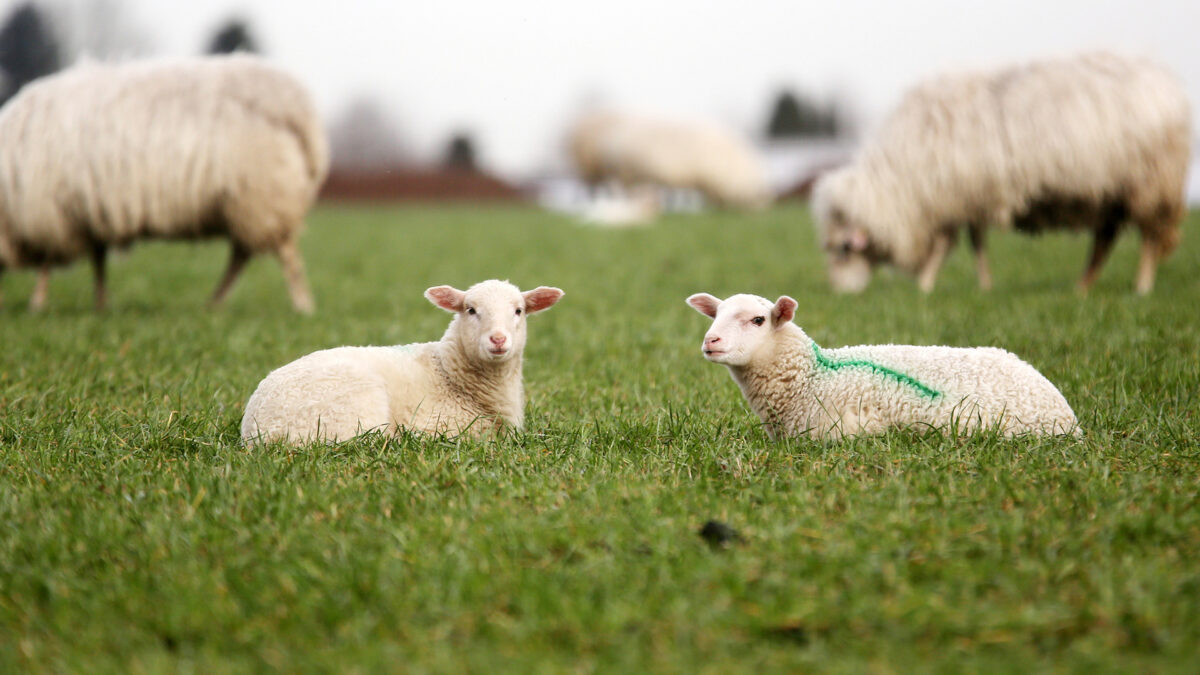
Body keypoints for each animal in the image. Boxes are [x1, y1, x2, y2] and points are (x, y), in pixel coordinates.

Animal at [0, 53, 328, 312]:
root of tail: (295, 106)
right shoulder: (88, 215)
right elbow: (98, 259)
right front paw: (101, 303)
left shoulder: (46, 214)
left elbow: (47, 263)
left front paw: (37, 304)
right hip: (249, 203)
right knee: (242, 255)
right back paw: (215, 303)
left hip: (261, 196)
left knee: (284, 256)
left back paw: (301, 306)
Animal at [242, 277, 566, 441]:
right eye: (471, 310)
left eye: (519, 311)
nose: (498, 340)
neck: (449, 373)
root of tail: (257, 433)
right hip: (351, 413)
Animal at [811, 51, 1195, 293]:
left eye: (843, 248)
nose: (838, 290)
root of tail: (1166, 83)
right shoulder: (969, 197)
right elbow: (977, 242)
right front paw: (984, 285)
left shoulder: (954, 196)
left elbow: (948, 244)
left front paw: (926, 285)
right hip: (1110, 193)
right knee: (1105, 239)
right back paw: (1082, 286)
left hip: (1151, 184)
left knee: (1148, 239)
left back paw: (1141, 287)